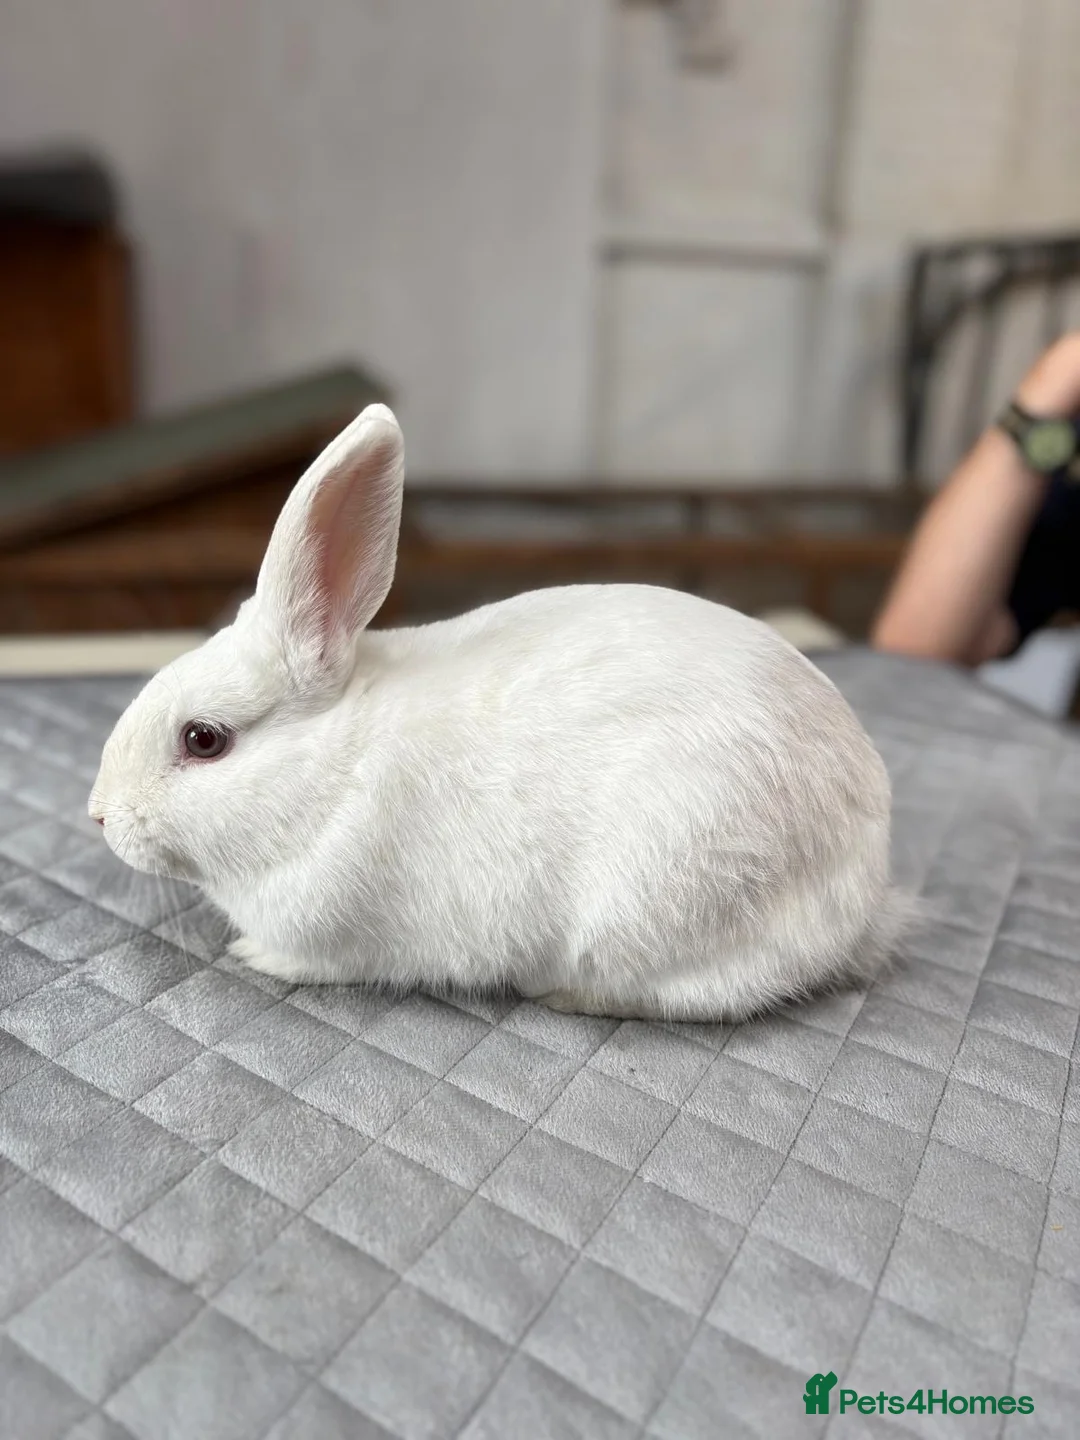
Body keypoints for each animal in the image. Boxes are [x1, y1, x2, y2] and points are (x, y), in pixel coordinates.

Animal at [89, 402, 905, 1022]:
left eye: (203, 739)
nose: (99, 815)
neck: (334, 774)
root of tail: (866, 889)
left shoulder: (335, 933)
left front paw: (249, 953)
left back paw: (561, 994)